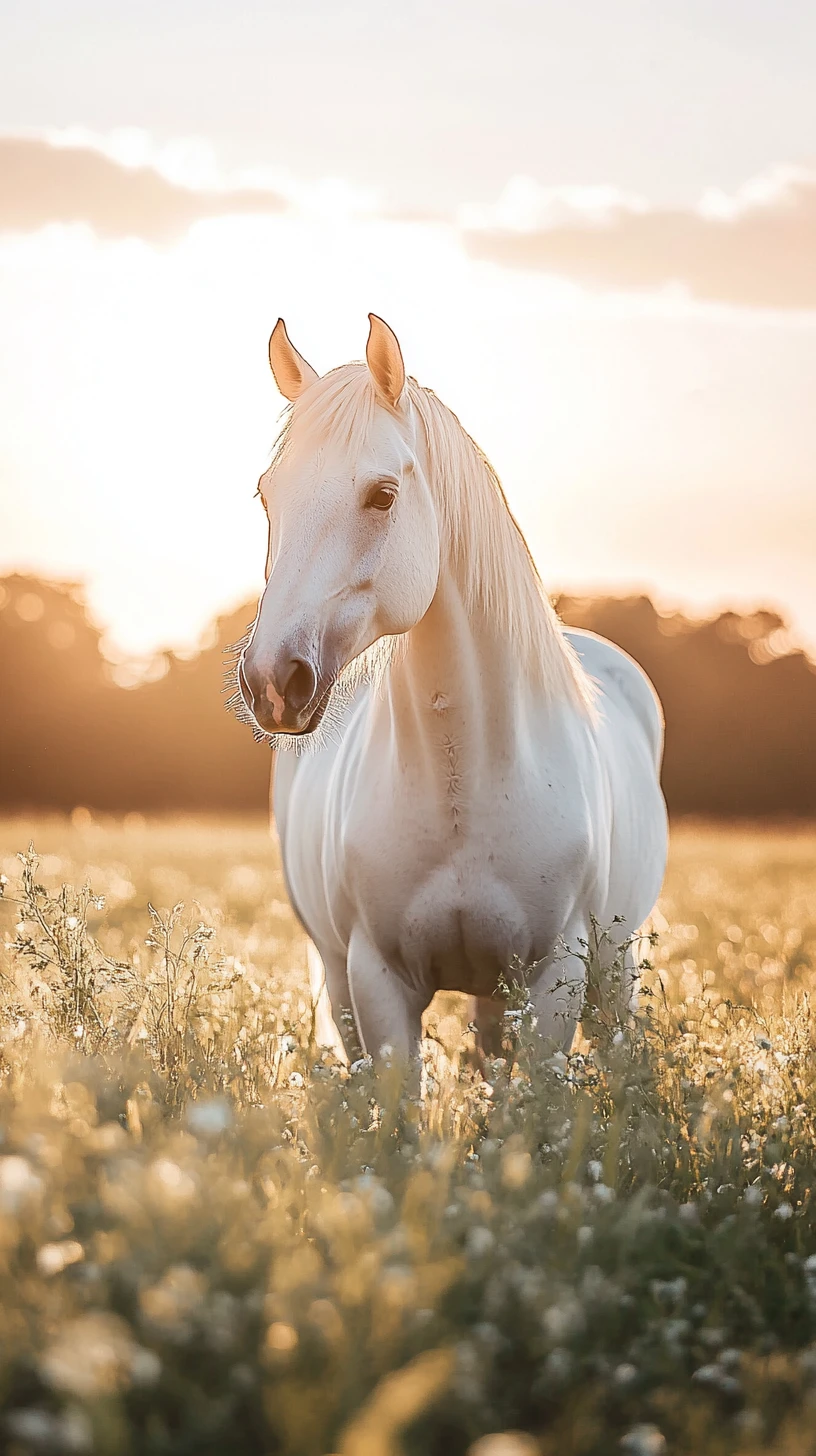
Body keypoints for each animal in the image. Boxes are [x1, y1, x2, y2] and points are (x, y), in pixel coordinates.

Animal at [237, 314, 668, 1064]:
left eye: (382, 495)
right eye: (268, 494)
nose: (272, 680)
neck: (466, 778)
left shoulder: (554, 981)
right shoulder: (375, 982)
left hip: (611, 974)